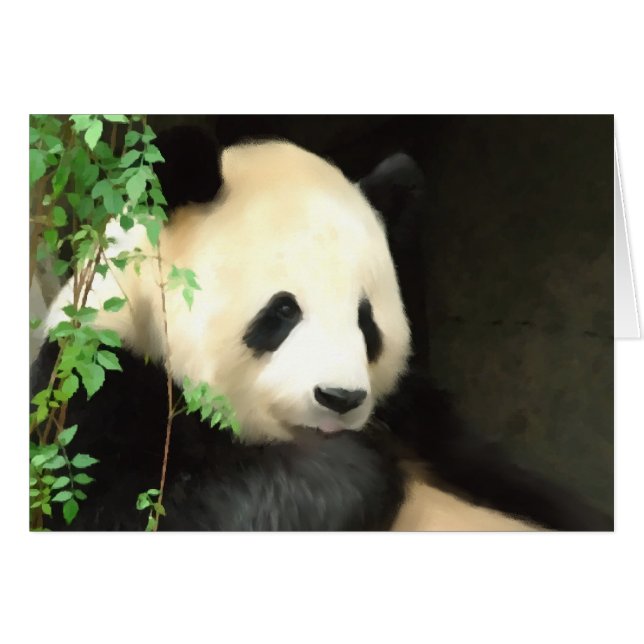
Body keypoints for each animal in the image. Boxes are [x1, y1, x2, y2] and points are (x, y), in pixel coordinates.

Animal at [30, 126, 613, 531]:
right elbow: (155, 506)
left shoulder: (422, 419)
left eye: (365, 321)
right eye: (283, 311)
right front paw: (361, 469)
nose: (340, 398)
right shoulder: (97, 388)